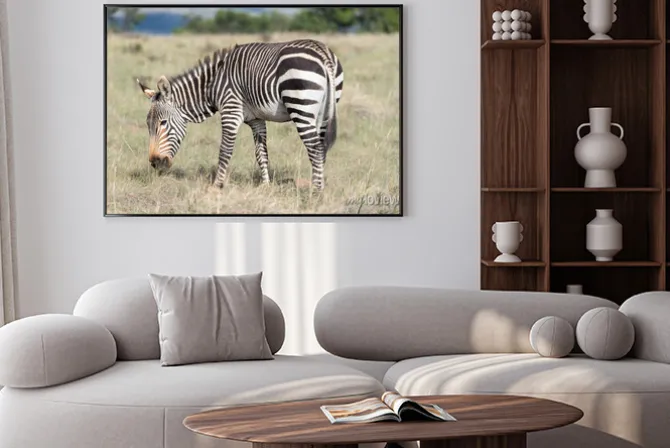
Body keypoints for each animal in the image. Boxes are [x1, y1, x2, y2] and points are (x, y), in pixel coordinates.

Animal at [137, 39, 344, 190]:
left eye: (163, 123)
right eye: (147, 125)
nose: (155, 163)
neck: (212, 85)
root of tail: (323, 54)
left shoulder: (231, 111)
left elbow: (225, 151)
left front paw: (216, 186)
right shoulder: (256, 119)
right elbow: (261, 153)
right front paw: (265, 186)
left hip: (301, 106)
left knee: (315, 149)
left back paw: (316, 192)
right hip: (323, 112)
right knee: (321, 148)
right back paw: (317, 185)